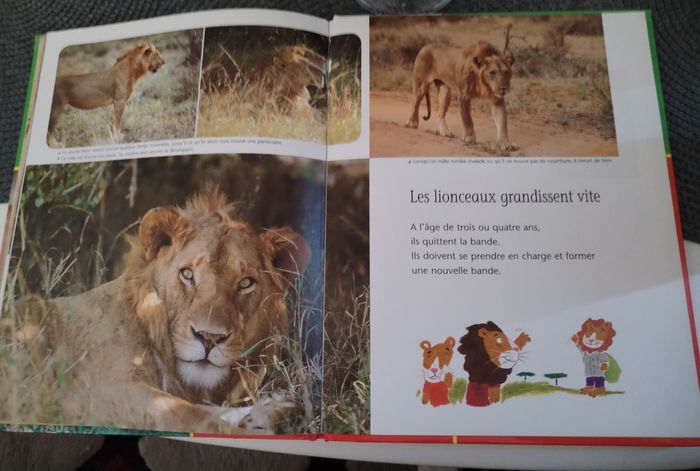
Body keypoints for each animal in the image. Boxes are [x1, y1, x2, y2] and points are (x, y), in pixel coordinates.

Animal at [2, 190, 311, 433]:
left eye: (246, 283)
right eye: (187, 274)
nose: (209, 338)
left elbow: (209, 411)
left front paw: (271, 411)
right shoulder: (94, 393)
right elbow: (192, 416)